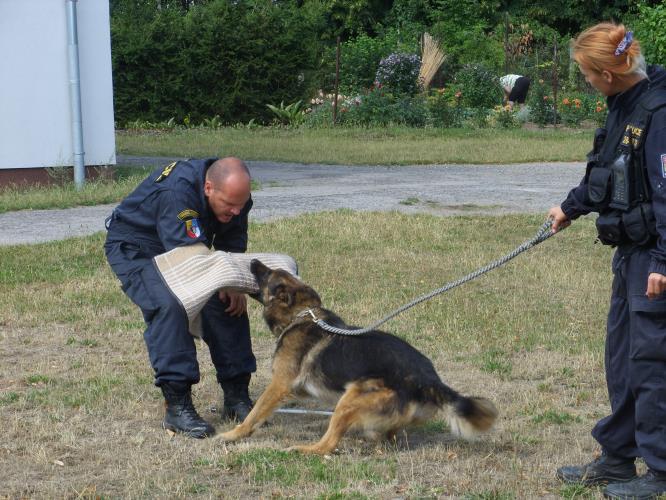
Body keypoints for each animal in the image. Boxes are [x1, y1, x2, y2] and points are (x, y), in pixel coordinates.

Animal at [219, 262, 498, 454]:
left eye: (267, 274)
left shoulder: (279, 385)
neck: (301, 315)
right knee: (389, 436)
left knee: (328, 444)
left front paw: (233, 434)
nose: (253, 259)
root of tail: (429, 380)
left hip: (349, 400)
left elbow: (255, 412)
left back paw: (304, 450)